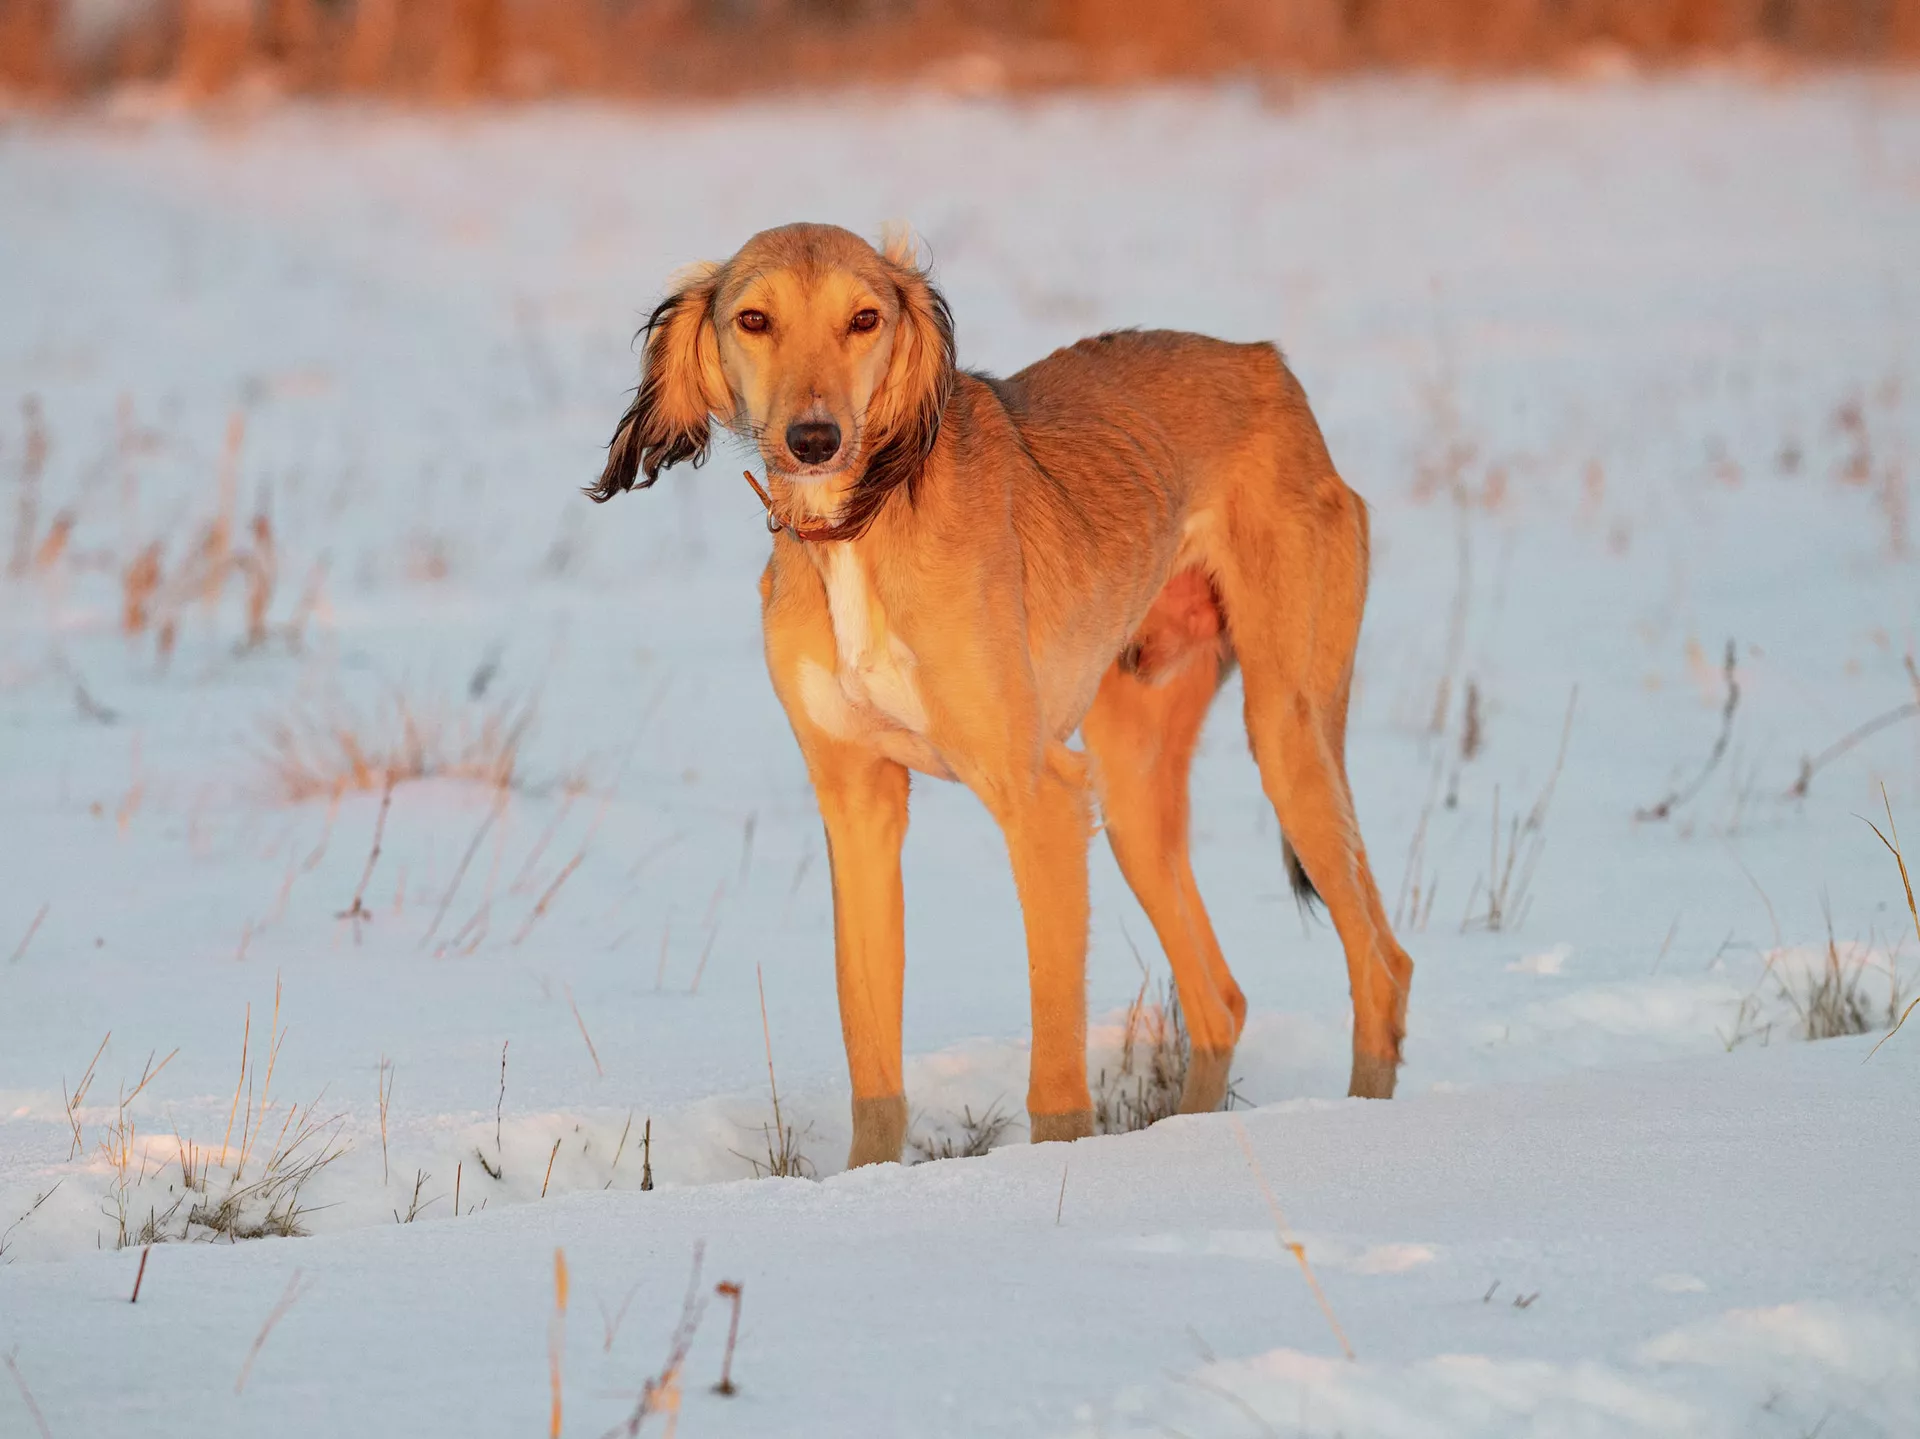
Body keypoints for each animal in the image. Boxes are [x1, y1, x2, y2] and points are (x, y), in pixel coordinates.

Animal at [590, 223, 1413, 1167]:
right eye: (754, 319)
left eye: (864, 318)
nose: (814, 439)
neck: (862, 525)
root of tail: (1265, 362)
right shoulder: (859, 807)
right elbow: (870, 1055)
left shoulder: (1041, 798)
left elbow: (1055, 1078)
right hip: (1132, 795)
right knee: (1221, 1002)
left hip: (1284, 732)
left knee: (1383, 968)